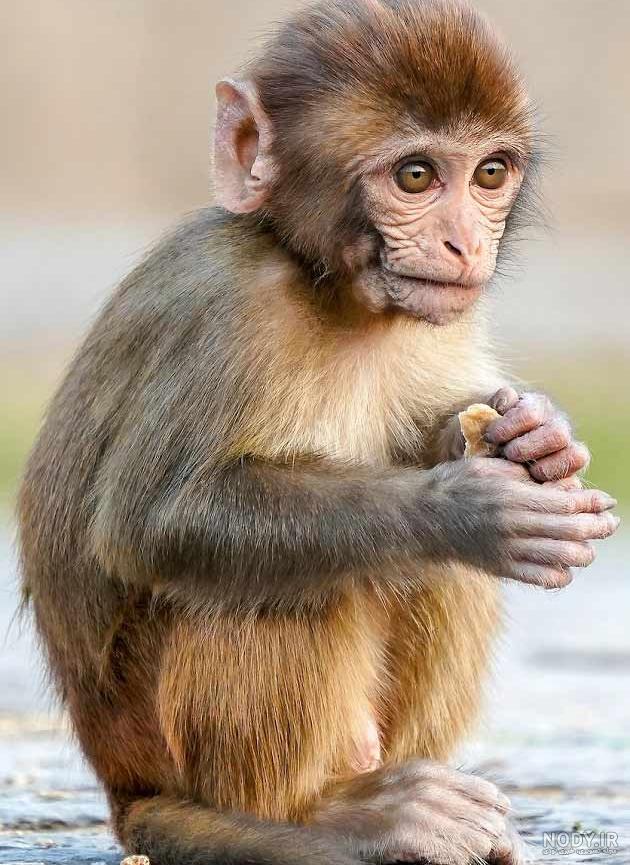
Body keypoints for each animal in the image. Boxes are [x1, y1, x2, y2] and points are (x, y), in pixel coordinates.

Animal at [17, 1, 620, 864]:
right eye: (415, 176)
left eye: (489, 174)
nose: (466, 243)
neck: (327, 285)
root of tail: (127, 792)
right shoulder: (229, 307)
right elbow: (154, 523)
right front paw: (466, 510)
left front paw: (537, 433)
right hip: (160, 740)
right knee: (284, 583)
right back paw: (331, 816)